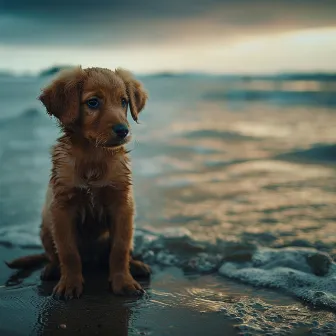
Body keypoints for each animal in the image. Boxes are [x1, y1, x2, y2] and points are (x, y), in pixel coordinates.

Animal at [5, 66, 150, 300]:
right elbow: (69, 253)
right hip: (46, 229)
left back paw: (136, 265)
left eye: (124, 101)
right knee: (53, 256)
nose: (123, 131)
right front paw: (69, 284)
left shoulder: (122, 205)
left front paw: (124, 282)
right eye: (93, 102)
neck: (93, 157)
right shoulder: (62, 208)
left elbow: (119, 249)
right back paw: (52, 269)